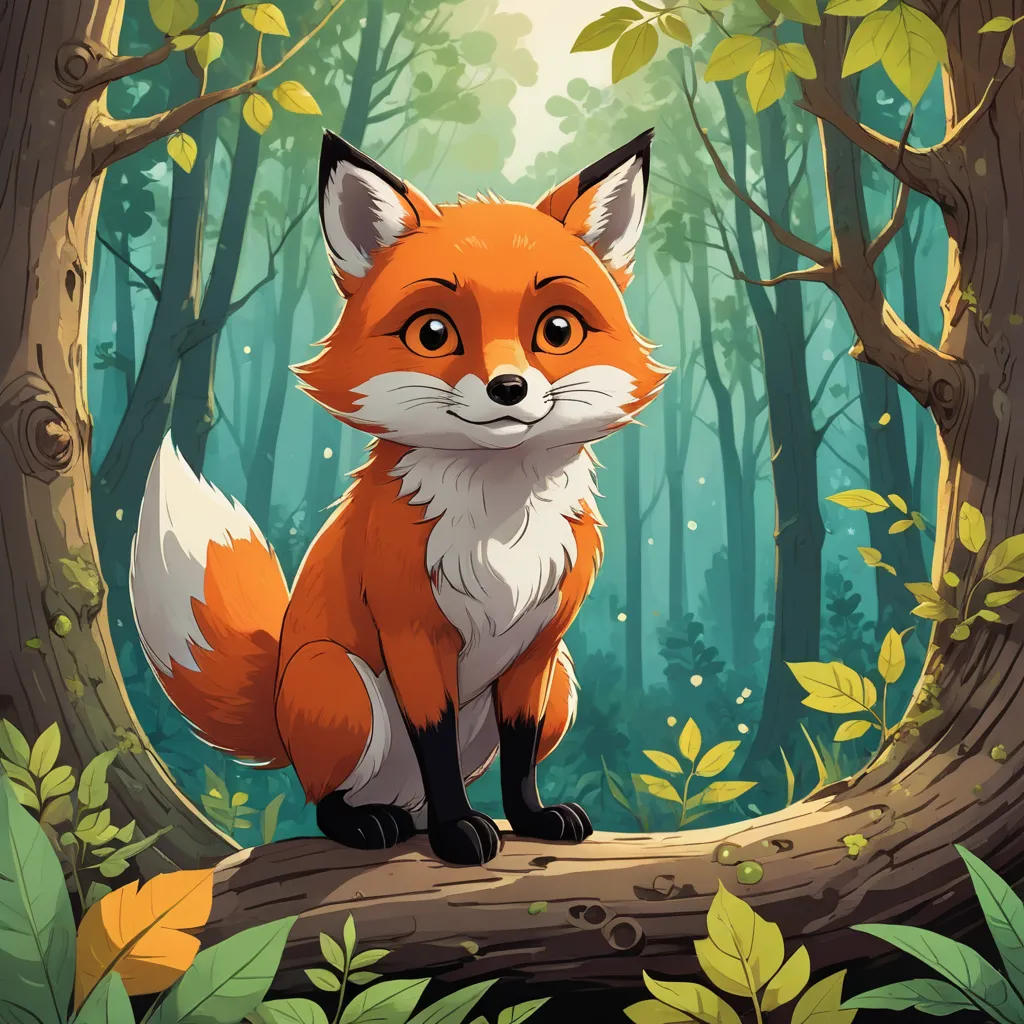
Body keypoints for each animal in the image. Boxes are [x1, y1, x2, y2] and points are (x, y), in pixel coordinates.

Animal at [129, 127, 668, 865]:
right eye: (433, 333)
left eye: (557, 330)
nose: (508, 388)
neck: (500, 521)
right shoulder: (413, 632)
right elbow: (434, 741)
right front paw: (457, 831)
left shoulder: (538, 646)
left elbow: (520, 754)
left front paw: (528, 818)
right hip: (339, 684)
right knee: (326, 799)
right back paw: (367, 823)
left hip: (564, 682)